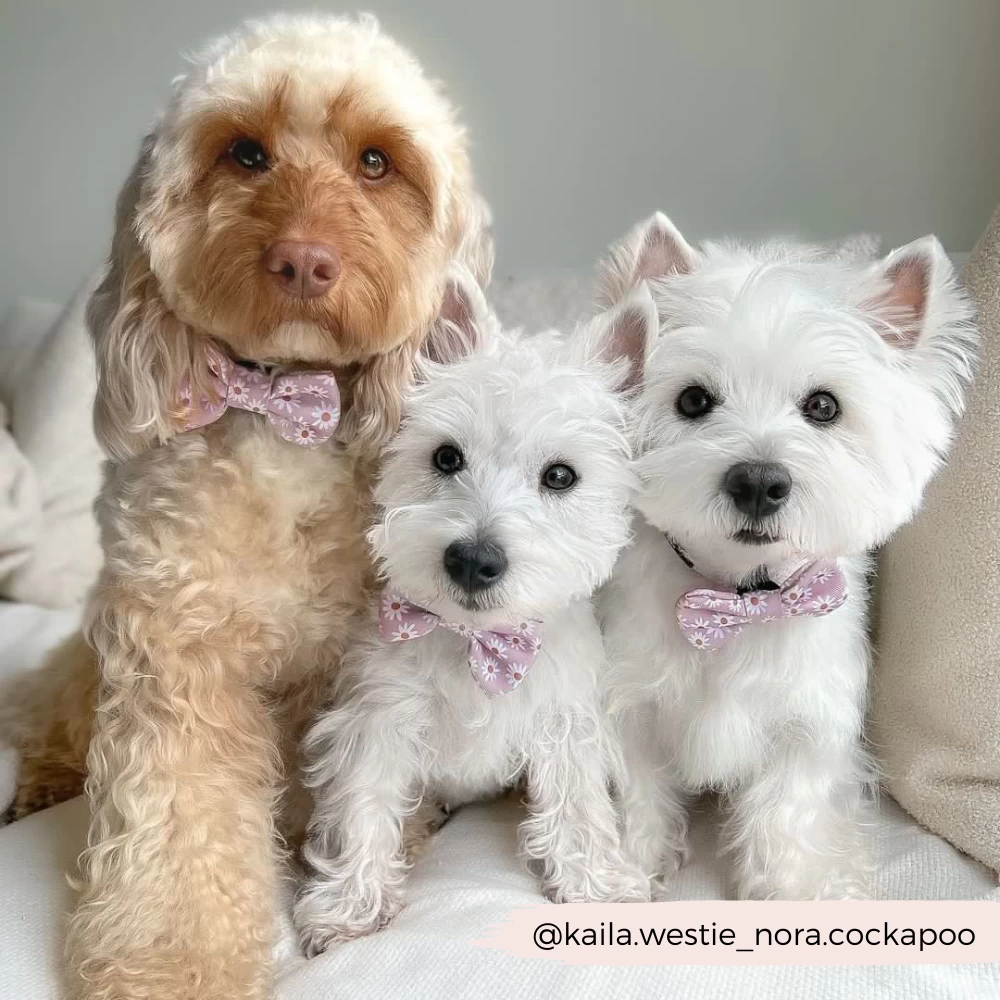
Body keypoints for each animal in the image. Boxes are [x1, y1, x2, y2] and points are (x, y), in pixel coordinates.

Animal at [4, 14, 490, 999]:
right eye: (245, 153)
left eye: (377, 162)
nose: (303, 260)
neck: (285, 426)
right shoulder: (174, 659)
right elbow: (177, 830)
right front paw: (174, 966)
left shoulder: (371, 667)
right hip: (93, 657)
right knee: (45, 706)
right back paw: (38, 781)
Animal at [293, 264, 657, 953]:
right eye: (445, 457)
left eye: (561, 476)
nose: (471, 560)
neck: (474, 641)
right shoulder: (379, 716)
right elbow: (364, 805)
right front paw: (352, 907)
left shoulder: (566, 718)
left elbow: (577, 805)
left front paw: (596, 890)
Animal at [597, 213, 977, 899]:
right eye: (693, 400)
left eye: (824, 406)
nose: (757, 481)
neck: (740, 598)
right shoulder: (630, 702)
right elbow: (643, 792)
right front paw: (639, 869)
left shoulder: (809, 724)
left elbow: (787, 814)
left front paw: (793, 891)